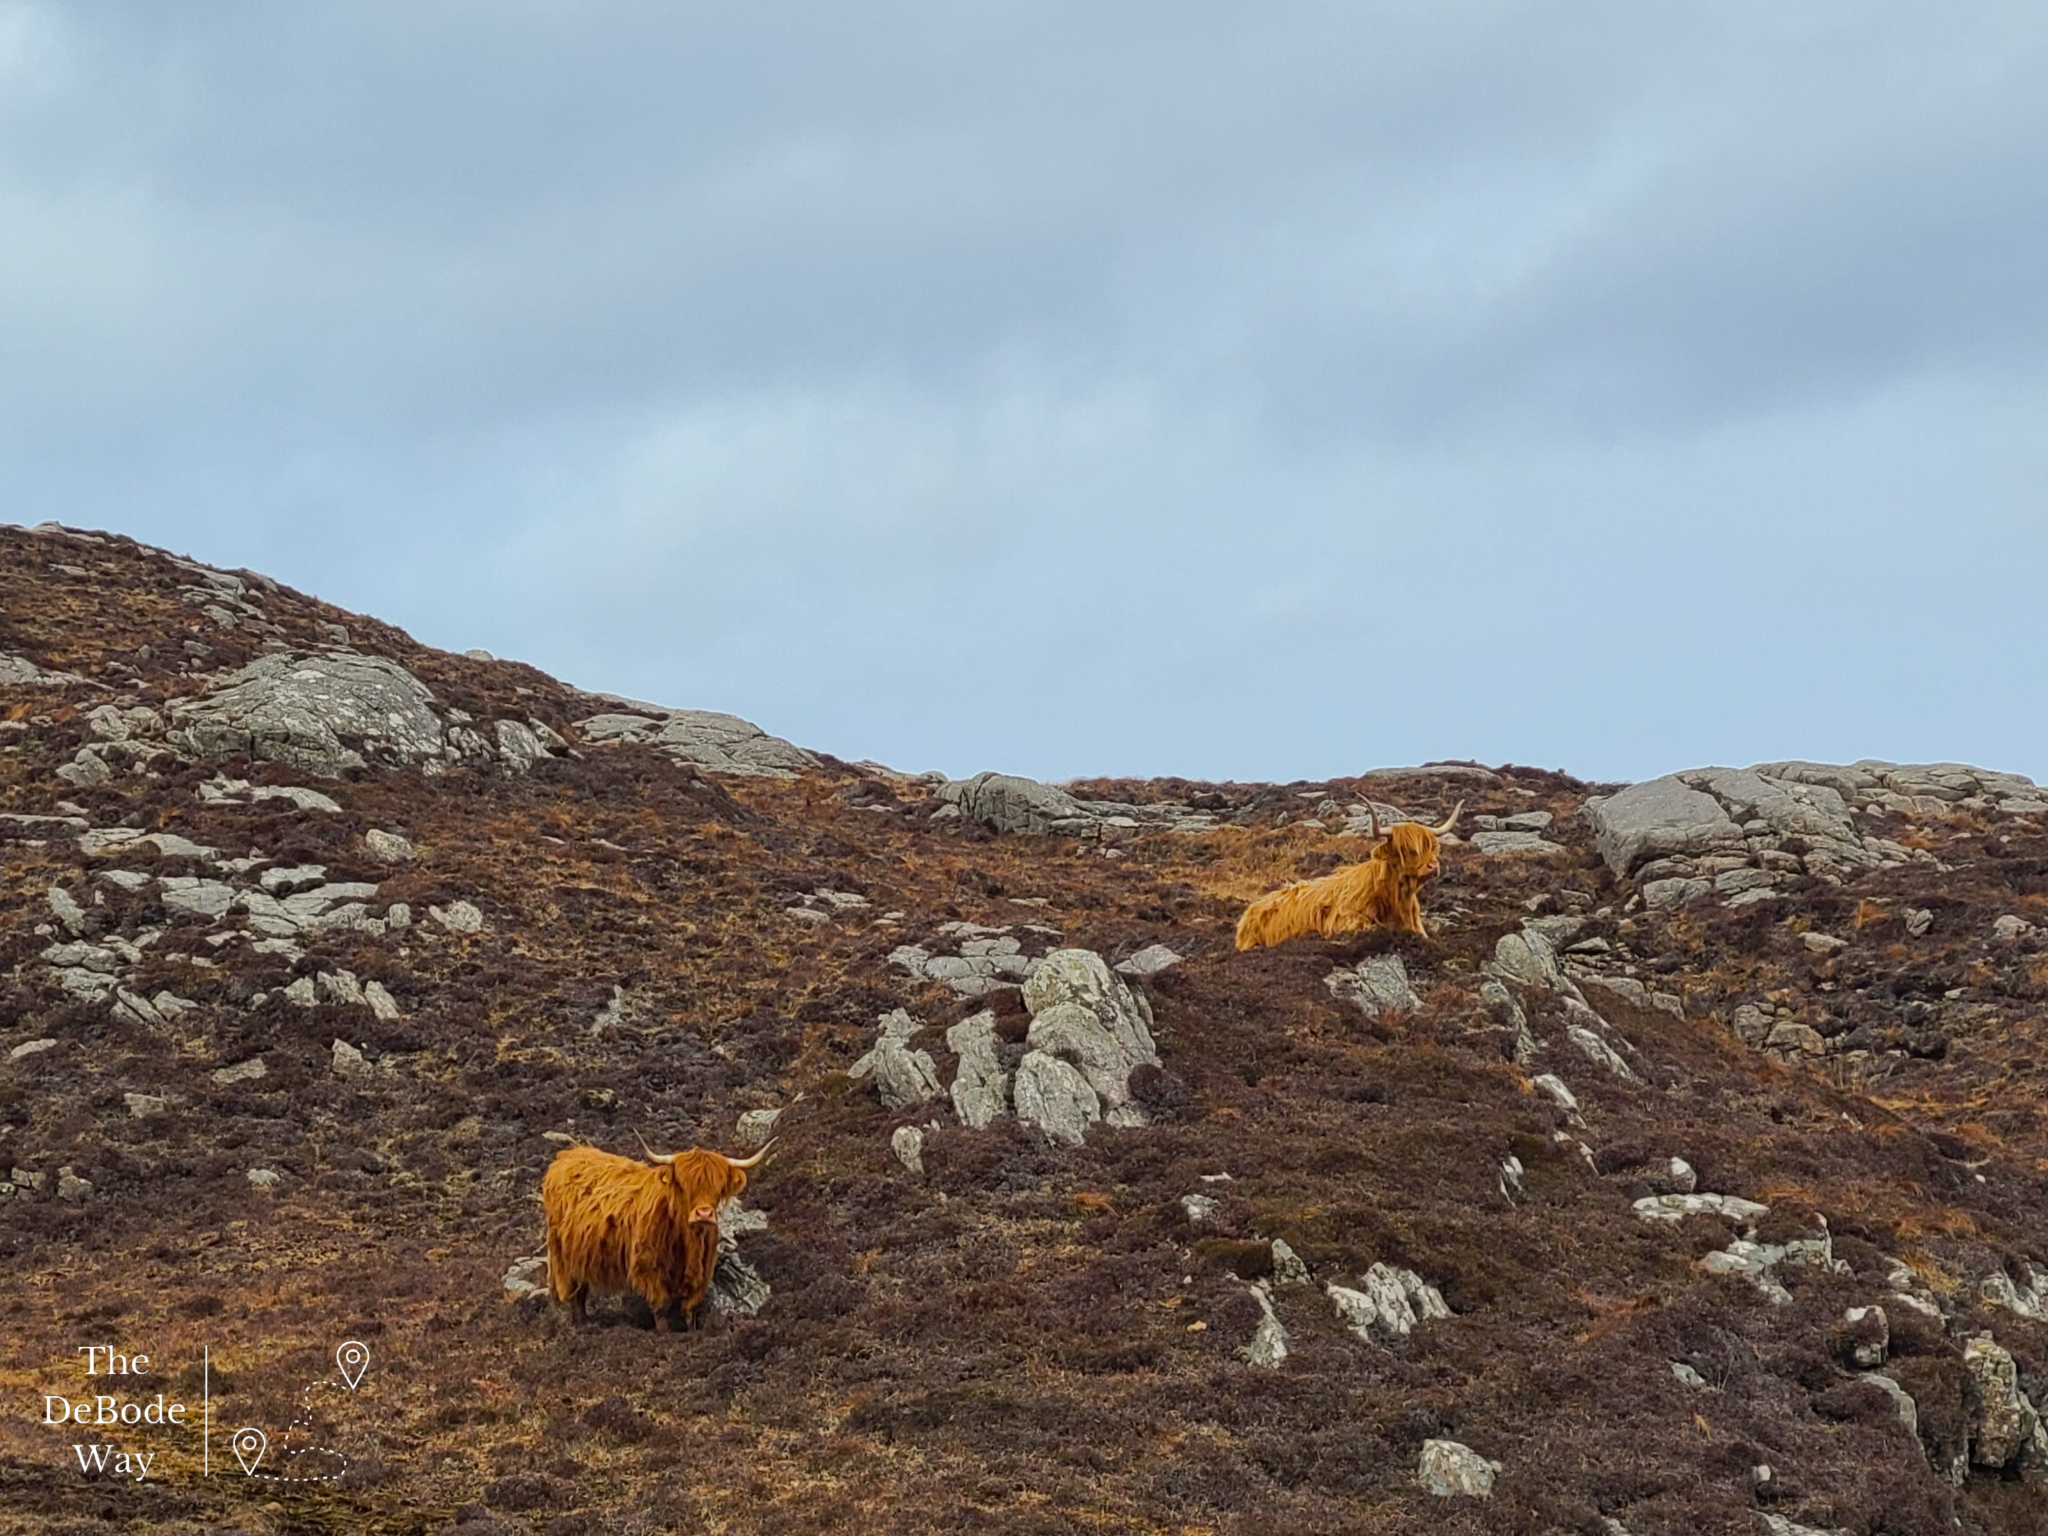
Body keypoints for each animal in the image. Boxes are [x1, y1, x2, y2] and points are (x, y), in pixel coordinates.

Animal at [541, 1138, 771, 1332]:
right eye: (684, 1185)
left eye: (719, 1186)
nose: (704, 1214)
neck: (689, 1240)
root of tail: (569, 1154)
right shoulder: (648, 1265)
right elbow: (661, 1304)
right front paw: (664, 1334)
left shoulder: (703, 1270)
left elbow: (690, 1307)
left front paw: (692, 1332)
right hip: (561, 1254)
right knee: (572, 1291)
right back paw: (581, 1325)